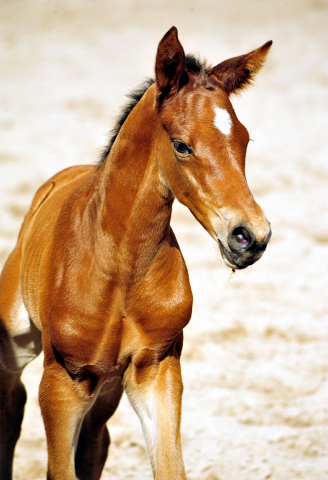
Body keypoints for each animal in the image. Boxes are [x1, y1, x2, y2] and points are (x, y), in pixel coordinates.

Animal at [0, 27, 272, 480]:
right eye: (181, 145)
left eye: (245, 139)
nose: (250, 236)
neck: (121, 268)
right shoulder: (63, 380)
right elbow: (59, 468)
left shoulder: (155, 370)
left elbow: (169, 467)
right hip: (18, 343)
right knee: (10, 405)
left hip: (109, 382)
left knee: (95, 442)